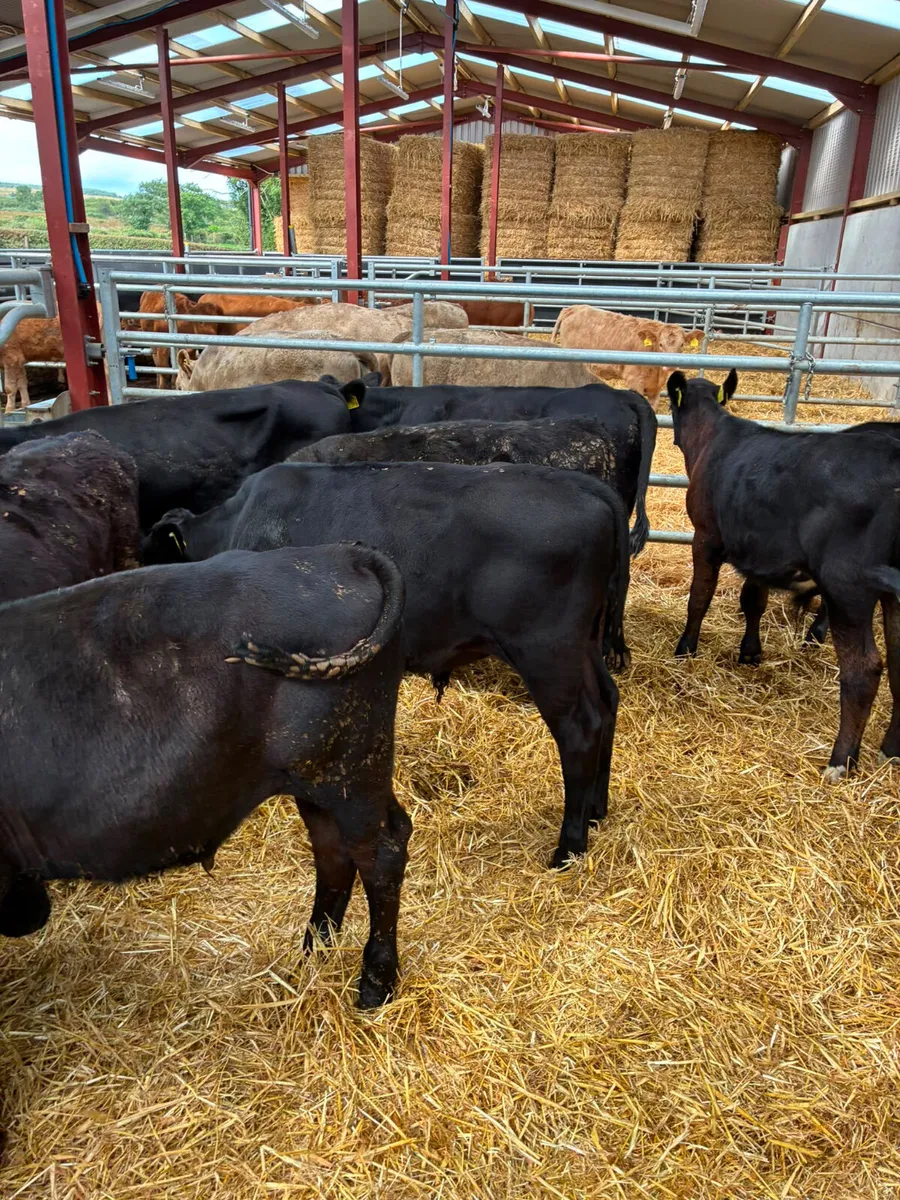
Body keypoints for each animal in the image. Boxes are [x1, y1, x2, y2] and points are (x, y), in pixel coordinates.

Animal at [0, 543, 408, 1022]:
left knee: (380, 856)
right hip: (318, 778)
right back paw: (311, 959)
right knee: (336, 855)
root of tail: (341, 553)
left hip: (353, 772)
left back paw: (373, 987)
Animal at [143, 460, 630, 867]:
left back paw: (569, 846)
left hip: (547, 652)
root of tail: (583, 485)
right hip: (584, 645)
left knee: (580, 728)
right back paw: (596, 811)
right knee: (607, 702)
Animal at [552, 306, 704, 407]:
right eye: (661, 344)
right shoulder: (635, 381)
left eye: (682, 344)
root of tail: (574, 308)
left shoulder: (655, 390)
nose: (671, 364)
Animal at [668, 367, 900, 782]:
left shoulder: (705, 537)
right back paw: (890, 751)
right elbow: (753, 601)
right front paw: (750, 653)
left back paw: (840, 760)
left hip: (848, 583)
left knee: (864, 669)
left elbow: (699, 597)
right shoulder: (760, 552)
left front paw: (686, 649)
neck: (714, 438)